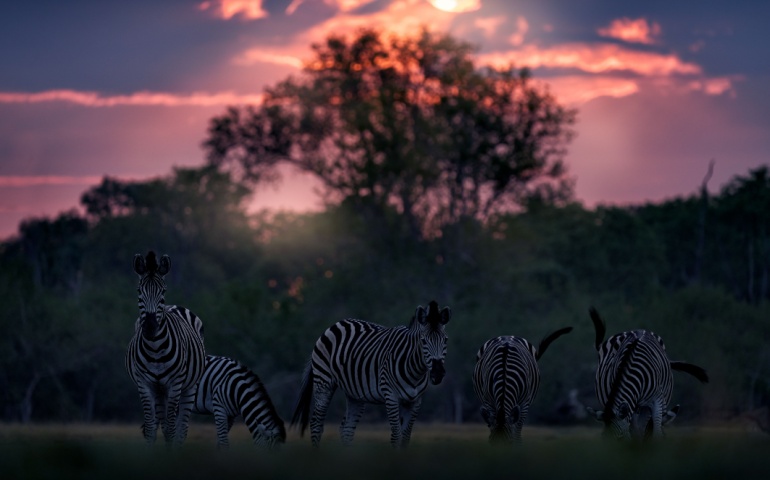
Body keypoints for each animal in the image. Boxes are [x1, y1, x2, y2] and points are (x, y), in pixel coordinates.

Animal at [124, 251, 206, 446]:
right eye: (139, 291)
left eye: (163, 291)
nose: (150, 327)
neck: (155, 349)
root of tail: (174, 306)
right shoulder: (145, 384)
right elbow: (151, 429)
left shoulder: (175, 384)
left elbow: (171, 430)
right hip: (159, 390)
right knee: (160, 423)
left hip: (189, 387)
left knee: (181, 428)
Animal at [292, 302, 450, 448]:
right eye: (423, 341)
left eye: (445, 340)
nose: (438, 373)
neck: (415, 371)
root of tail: (336, 324)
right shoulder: (391, 397)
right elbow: (396, 436)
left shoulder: (415, 402)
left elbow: (405, 438)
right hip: (323, 382)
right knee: (316, 424)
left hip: (355, 393)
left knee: (346, 429)